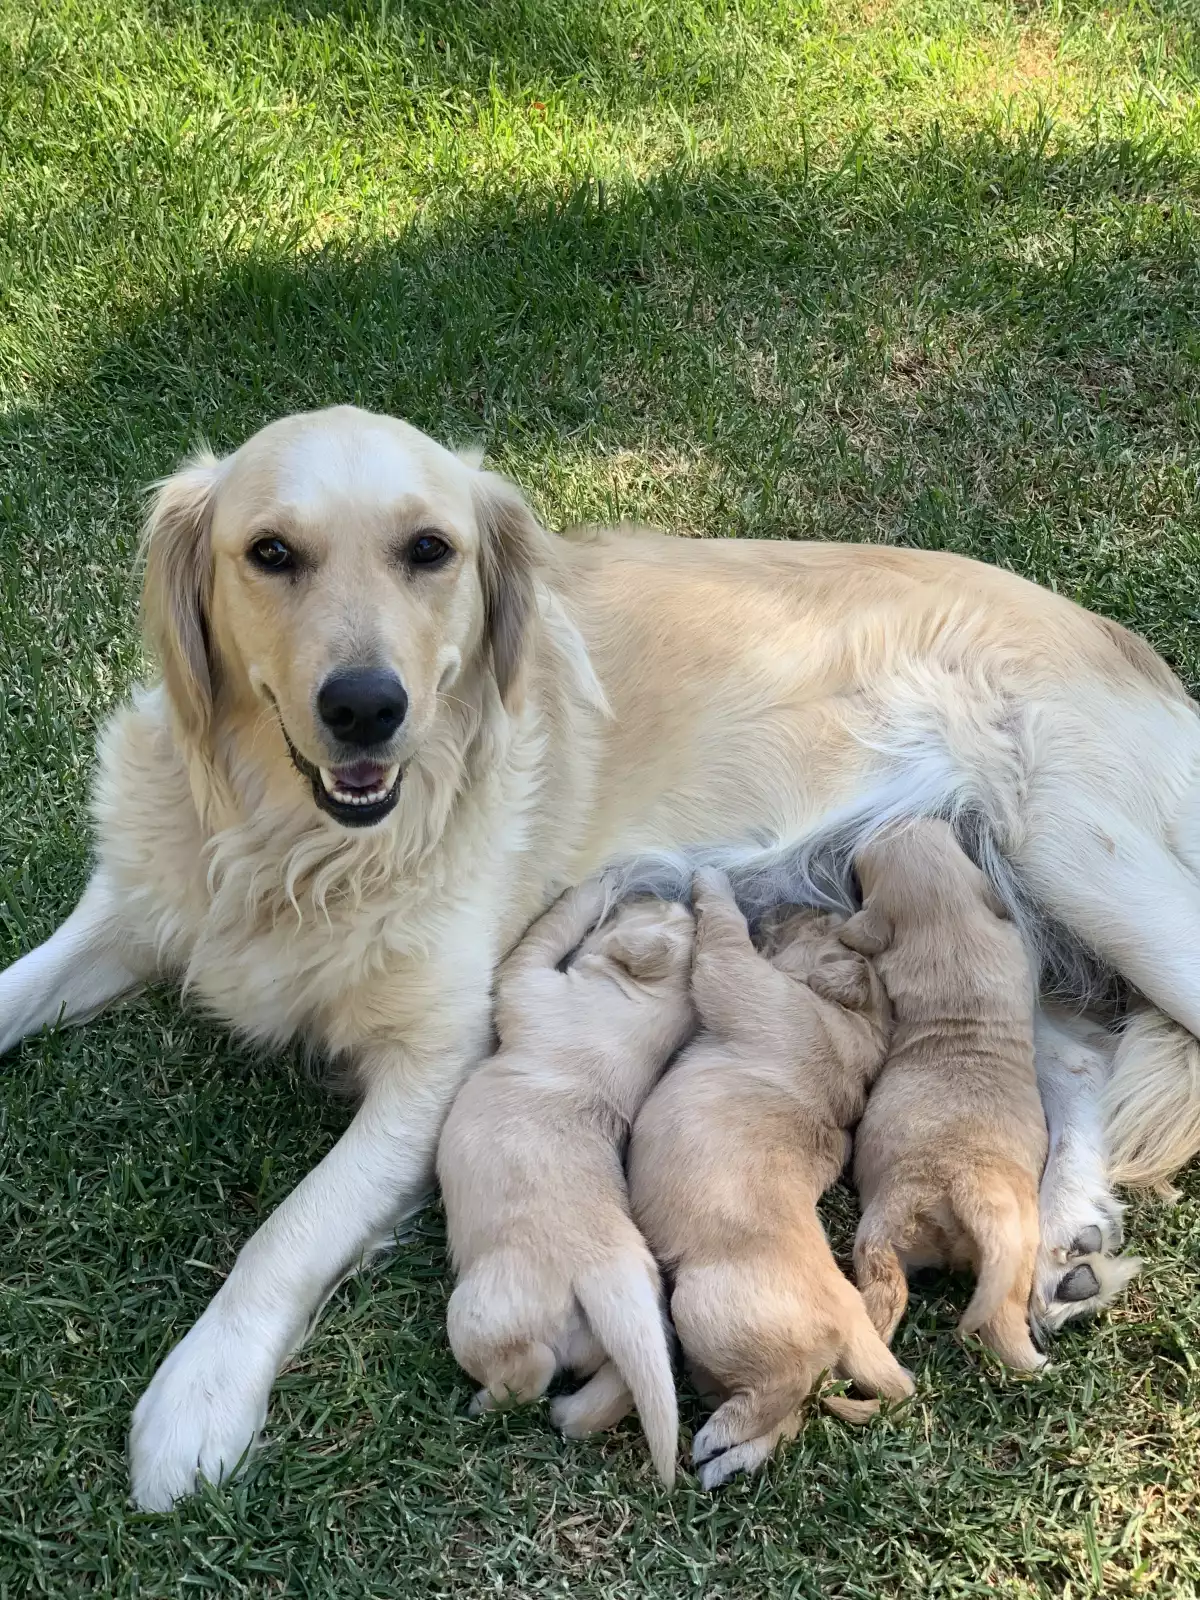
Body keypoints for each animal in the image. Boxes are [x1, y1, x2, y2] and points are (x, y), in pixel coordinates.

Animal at [437, 879, 694, 1484]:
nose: (665, 889)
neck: (650, 1012)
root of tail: (604, 1274)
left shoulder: (530, 983)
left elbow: (543, 936)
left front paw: (589, 890)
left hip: (482, 1311)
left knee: (527, 1371)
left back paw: (483, 1404)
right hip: (641, 1323)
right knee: (623, 1380)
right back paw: (570, 1416)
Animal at [628, 869, 913, 1489]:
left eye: (822, 922)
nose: (785, 902)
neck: (859, 1023)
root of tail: (851, 1315)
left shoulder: (754, 989)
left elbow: (726, 945)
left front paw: (712, 884)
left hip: (711, 1308)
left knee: (780, 1388)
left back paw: (717, 1436)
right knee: (788, 1417)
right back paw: (728, 1458)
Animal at [842, 818, 1048, 1369]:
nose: (894, 818)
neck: (950, 923)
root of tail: (965, 1184)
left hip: (883, 1228)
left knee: (884, 1294)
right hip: (1018, 1249)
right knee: (1005, 1314)